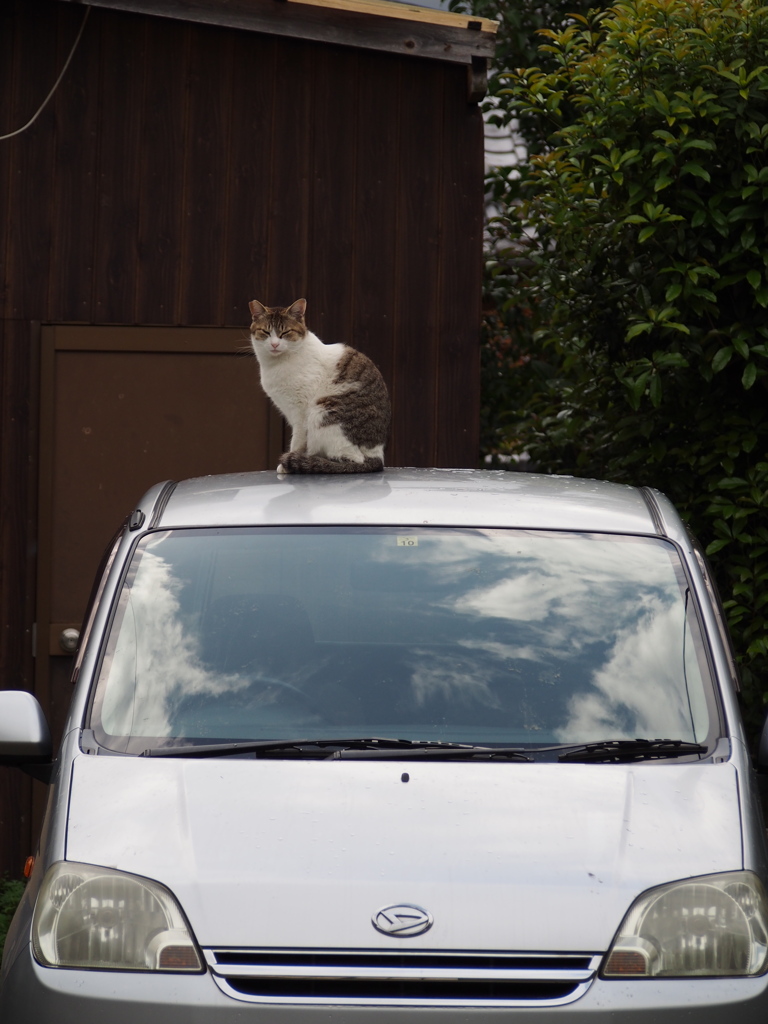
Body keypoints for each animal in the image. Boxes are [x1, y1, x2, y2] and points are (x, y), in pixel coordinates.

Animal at [249, 294, 391, 473]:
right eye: (265, 332)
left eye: (286, 332)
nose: (274, 344)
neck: (277, 363)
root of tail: (378, 456)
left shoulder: (301, 414)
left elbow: (297, 442)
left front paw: (287, 464)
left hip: (321, 413)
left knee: (352, 460)